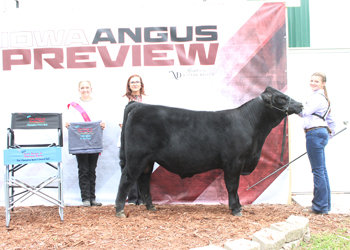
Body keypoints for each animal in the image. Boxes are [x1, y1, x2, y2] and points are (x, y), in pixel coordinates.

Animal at [115, 87, 304, 217]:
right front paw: (236, 209)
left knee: (144, 180)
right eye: (281, 98)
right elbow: (232, 186)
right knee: (127, 179)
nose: (301, 104)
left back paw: (151, 206)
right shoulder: (234, 162)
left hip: (148, 160)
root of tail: (139, 105)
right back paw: (119, 210)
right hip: (136, 157)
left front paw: (238, 206)